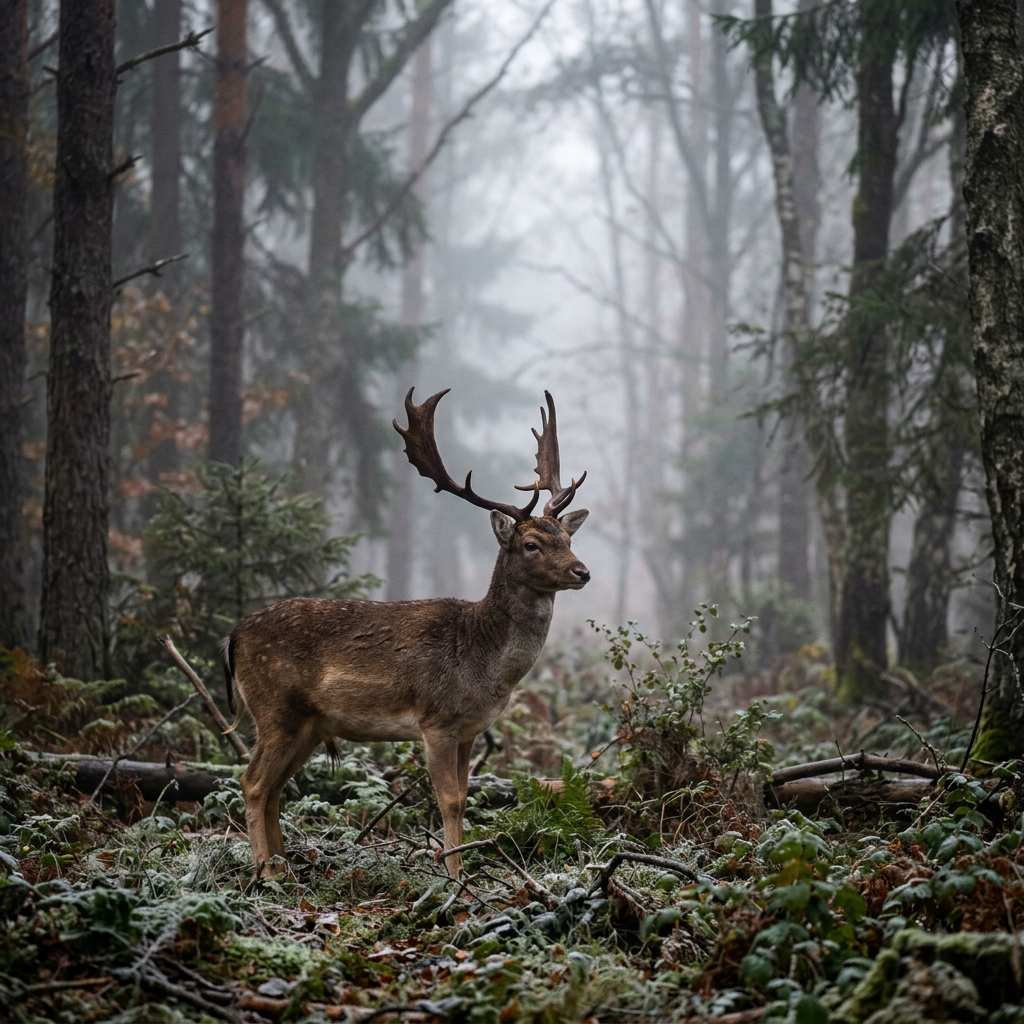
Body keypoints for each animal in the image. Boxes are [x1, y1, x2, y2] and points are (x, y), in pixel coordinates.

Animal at [223, 388, 590, 880]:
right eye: (532, 544)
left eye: (567, 539)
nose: (582, 571)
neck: (484, 663)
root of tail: (233, 637)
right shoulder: (436, 719)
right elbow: (450, 801)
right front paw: (454, 876)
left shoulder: (470, 730)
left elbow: (465, 797)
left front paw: (459, 869)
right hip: (274, 707)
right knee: (253, 782)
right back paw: (266, 873)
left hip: (307, 724)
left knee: (275, 786)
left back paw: (285, 867)